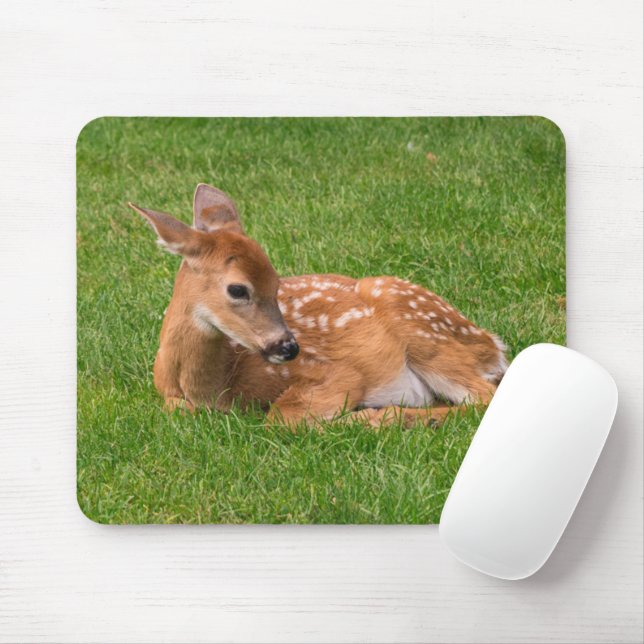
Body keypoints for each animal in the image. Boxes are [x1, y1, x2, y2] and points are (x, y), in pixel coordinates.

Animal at [128, 183, 508, 428]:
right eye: (237, 289)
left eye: (277, 282)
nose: (289, 347)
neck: (215, 386)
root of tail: (493, 345)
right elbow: (177, 409)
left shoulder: (337, 373)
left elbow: (280, 417)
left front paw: (360, 416)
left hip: (425, 333)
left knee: (483, 398)